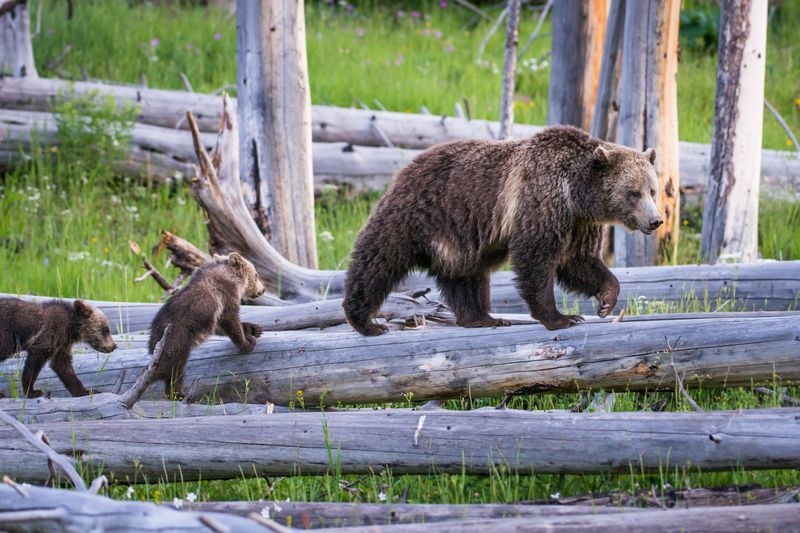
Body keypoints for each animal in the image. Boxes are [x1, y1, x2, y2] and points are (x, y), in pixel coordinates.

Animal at [146, 252, 266, 400]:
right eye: (256, 274)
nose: (262, 290)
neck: (232, 278)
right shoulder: (226, 294)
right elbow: (230, 319)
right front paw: (247, 343)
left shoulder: (213, 315)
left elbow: (219, 326)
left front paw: (253, 329)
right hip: (176, 342)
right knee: (175, 371)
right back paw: (180, 394)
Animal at [342, 125, 662, 335]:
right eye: (633, 193)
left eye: (652, 190)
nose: (655, 220)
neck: (576, 194)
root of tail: (408, 164)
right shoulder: (541, 202)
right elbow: (536, 257)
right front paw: (561, 317)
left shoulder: (579, 223)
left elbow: (578, 261)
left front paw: (606, 299)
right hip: (417, 213)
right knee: (379, 258)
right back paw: (365, 320)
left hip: (460, 237)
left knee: (465, 276)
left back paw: (482, 317)